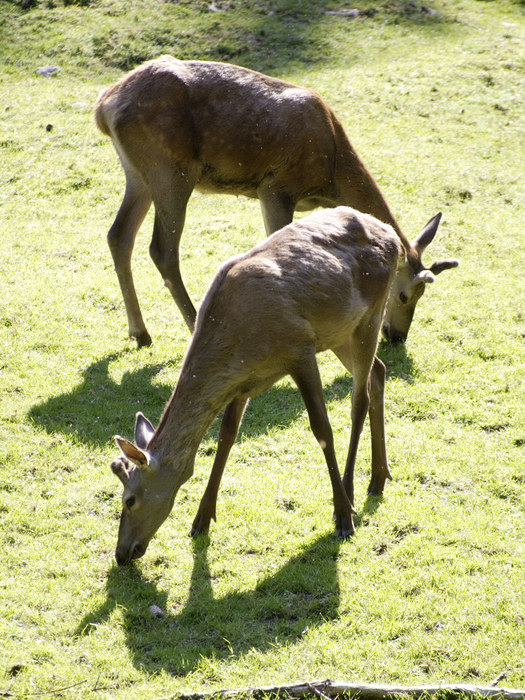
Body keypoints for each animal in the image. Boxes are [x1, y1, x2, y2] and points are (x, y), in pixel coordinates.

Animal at [95, 55, 458, 350]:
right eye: (405, 294)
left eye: (423, 295)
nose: (397, 337)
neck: (332, 171)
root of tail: (104, 106)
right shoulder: (277, 186)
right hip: (171, 169)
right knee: (162, 249)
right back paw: (192, 324)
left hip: (139, 173)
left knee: (118, 235)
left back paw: (140, 333)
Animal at [109, 205, 442, 568]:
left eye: (129, 499)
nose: (122, 553)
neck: (239, 338)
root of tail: (391, 235)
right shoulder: (242, 381)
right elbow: (226, 437)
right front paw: (201, 519)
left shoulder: (299, 349)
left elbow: (322, 429)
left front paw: (342, 516)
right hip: (340, 332)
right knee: (379, 372)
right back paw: (379, 478)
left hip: (371, 314)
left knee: (359, 398)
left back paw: (352, 490)